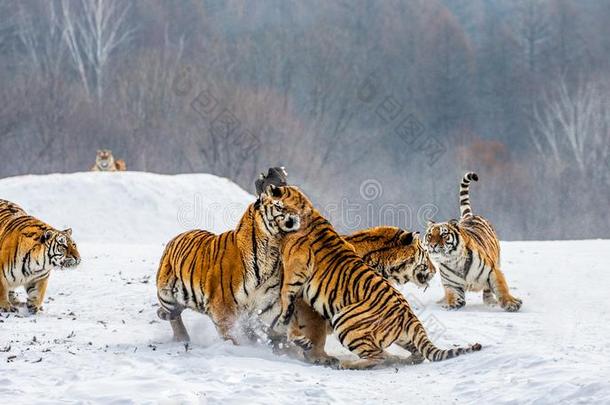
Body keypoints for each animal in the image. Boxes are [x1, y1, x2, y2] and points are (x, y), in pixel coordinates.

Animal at [256, 186, 480, 370]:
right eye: (425, 254)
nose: (434, 270)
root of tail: (408, 315)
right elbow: (305, 326)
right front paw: (312, 352)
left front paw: (310, 351)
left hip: (347, 322)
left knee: (392, 354)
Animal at [420, 172, 520, 310]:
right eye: (430, 235)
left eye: (443, 234)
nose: (433, 245)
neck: (454, 261)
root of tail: (469, 216)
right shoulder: (451, 285)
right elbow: (453, 296)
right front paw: (451, 304)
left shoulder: (492, 270)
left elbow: (501, 288)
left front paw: (511, 303)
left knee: (487, 290)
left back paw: (490, 302)